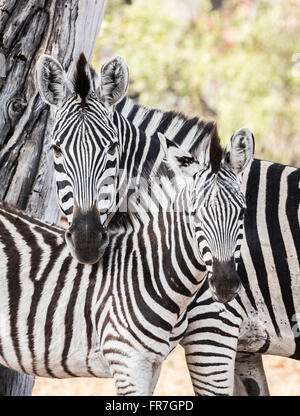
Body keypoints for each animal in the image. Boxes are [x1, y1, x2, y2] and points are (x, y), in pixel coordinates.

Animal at [0, 122, 253, 394]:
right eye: (193, 214)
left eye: (243, 212)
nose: (225, 284)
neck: (148, 273)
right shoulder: (128, 361)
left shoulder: (154, 364)